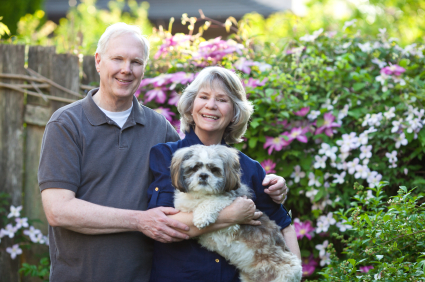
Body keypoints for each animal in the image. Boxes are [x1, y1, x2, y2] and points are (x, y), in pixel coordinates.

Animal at [169, 145, 302, 282]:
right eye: (194, 168)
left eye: (214, 169)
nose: (203, 175)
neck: (201, 196)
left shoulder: (231, 217)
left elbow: (215, 199)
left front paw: (202, 217)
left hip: (288, 271)